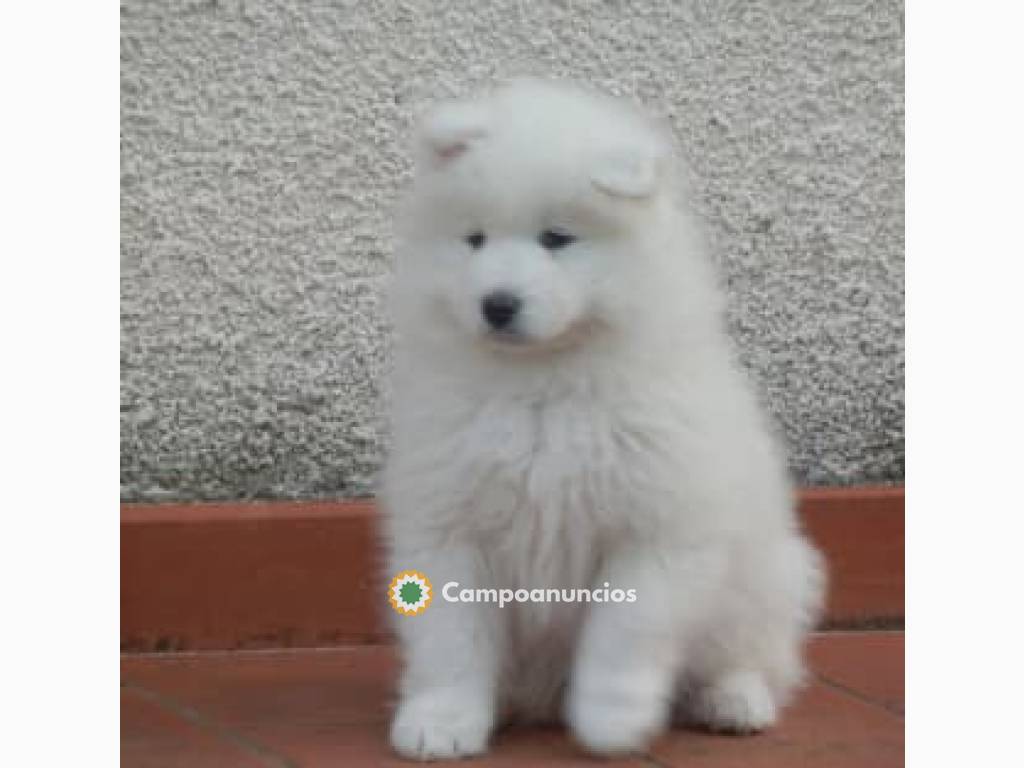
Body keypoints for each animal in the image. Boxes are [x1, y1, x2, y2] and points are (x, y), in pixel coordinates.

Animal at [382, 81, 823, 761]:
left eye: (556, 238)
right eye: (475, 239)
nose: (497, 304)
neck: (543, 384)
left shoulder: (654, 530)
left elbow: (624, 633)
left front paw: (611, 721)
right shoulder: (451, 523)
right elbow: (451, 638)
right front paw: (441, 723)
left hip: (763, 580)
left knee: (749, 657)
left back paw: (733, 703)